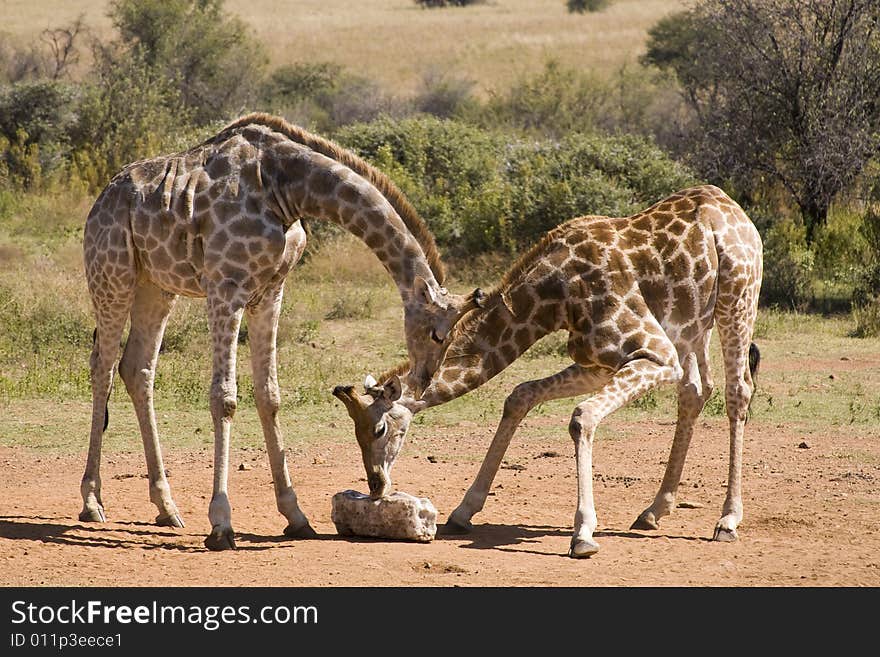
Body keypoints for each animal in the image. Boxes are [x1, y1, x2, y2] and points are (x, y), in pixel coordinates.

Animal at [81, 111, 482, 548]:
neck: (287, 188)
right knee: (103, 368)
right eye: (438, 334)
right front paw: (221, 523)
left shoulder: (270, 292)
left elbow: (269, 395)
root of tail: (100, 199)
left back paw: (167, 508)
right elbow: (224, 398)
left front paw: (296, 515)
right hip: (113, 276)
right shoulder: (225, 287)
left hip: (156, 286)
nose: (423, 382)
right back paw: (92, 501)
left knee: (137, 369)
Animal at [334, 184, 760, 560]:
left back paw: (728, 520)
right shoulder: (596, 362)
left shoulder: (656, 354)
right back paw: (654, 510)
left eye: (379, 429)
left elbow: (582, 417)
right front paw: (464, 510)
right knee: (696, 390)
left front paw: (583, 533)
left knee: (737, 390)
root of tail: (733, 208)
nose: (375, 486)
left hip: (738, 300)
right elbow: (519, 395)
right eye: (354, 433)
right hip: (693, 327)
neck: (552, 297)